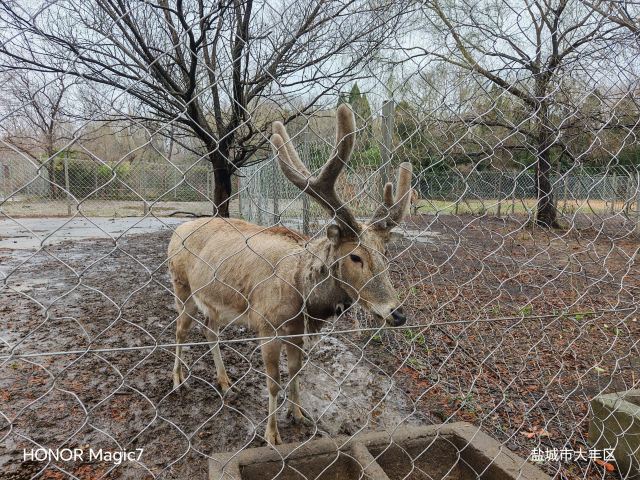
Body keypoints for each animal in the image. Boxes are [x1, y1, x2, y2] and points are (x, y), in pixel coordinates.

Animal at [167, 104, 412, 445]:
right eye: (355, 256)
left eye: (385, 254)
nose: (397, 313)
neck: (300, 292)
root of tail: (176, 231)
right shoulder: (266, 325)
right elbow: (273, 381)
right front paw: (272, 435)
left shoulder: (297, 330)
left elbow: (296, 371)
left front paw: (298, 414)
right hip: (182, 286)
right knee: (179, 330)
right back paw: (177, 380)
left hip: (213, 299)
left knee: (209, 330)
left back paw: (225, 382)